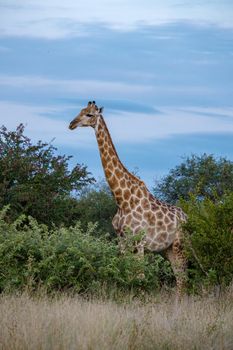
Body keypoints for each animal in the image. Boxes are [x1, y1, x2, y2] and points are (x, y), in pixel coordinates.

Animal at [68, 101, 187, 296]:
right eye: (80, 111)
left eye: (90, 115)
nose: (71, 124)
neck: (122, 199)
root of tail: (187, 216)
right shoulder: (122, 241)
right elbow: (122, 272)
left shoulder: (139, 242)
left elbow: (140, 277)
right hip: (167, 249)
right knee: (179, 277)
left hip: (180, 244)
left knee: (183, 276)